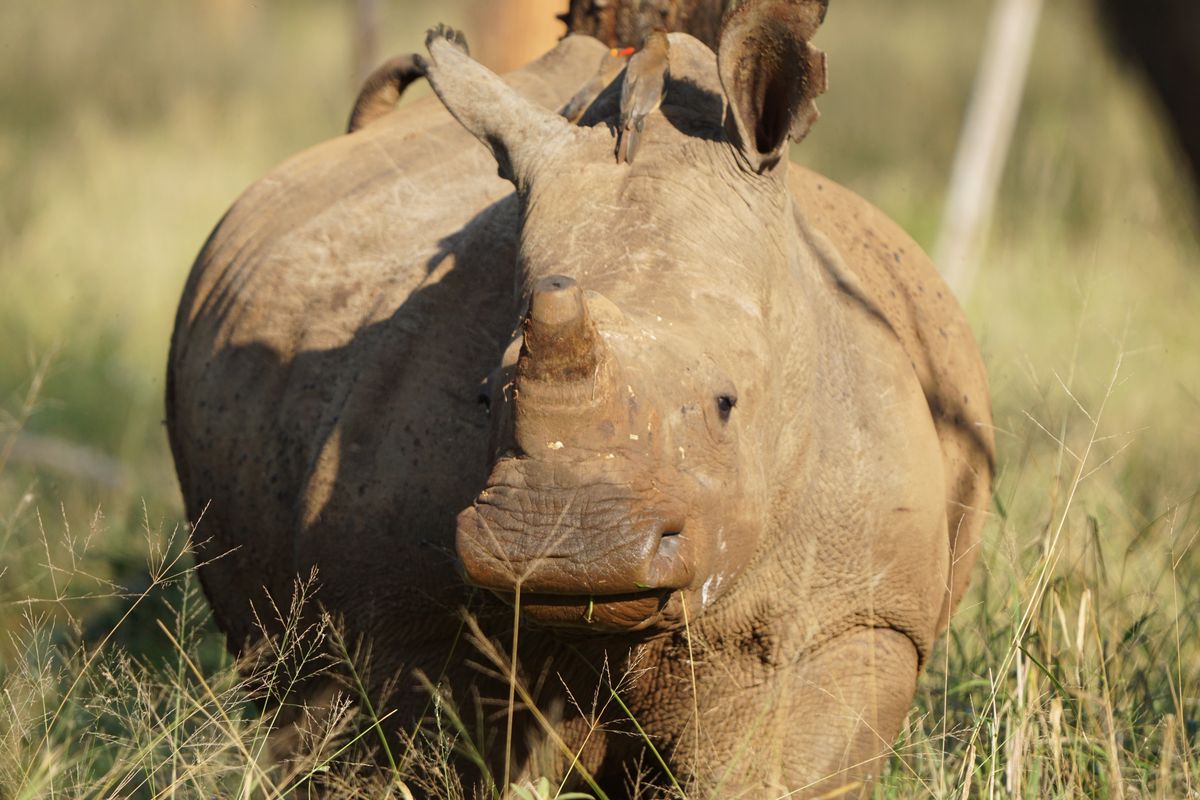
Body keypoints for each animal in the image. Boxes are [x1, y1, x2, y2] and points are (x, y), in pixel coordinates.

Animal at [167, 2, 993, 796]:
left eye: (726, 403)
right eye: (482, 398)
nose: (562, 551)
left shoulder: (852, 616)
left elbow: (770, 770)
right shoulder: (386, 617)